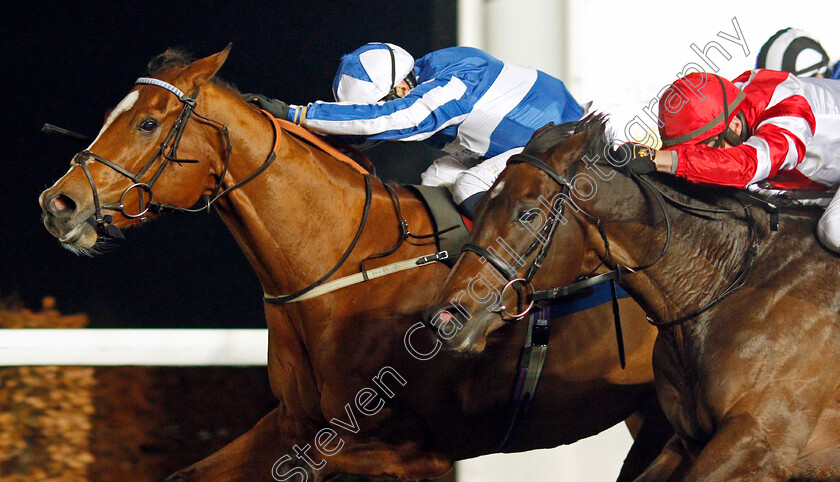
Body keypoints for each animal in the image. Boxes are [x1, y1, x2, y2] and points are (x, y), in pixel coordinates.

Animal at [37, 46, 668, 482]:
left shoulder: (409, 452)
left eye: (147, 123)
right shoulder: (294, 422)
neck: (343, 267)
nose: (58, 204)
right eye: (112, 115)